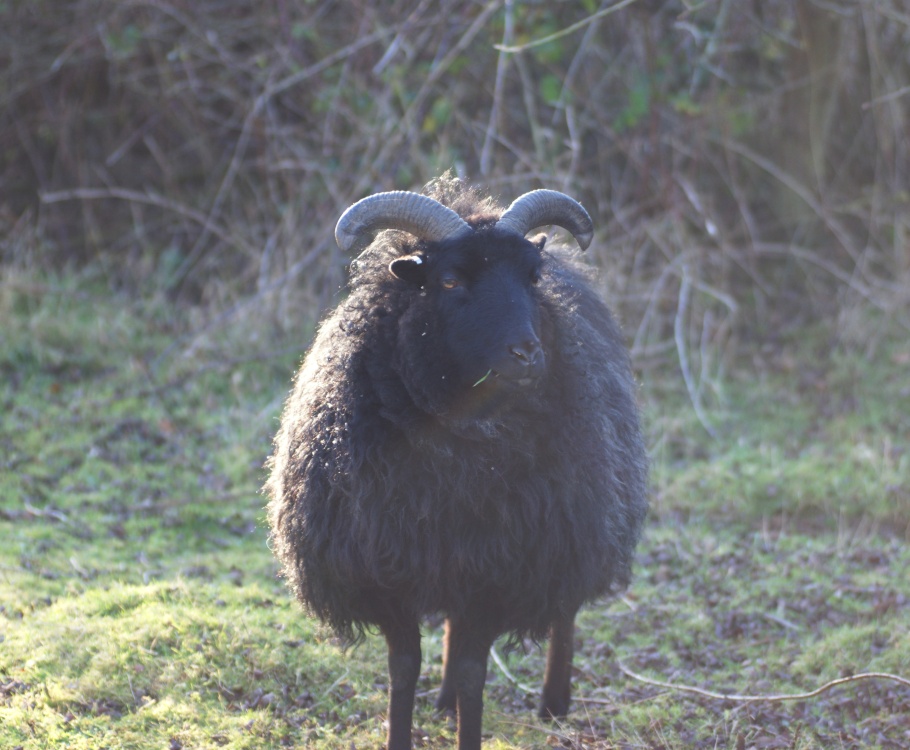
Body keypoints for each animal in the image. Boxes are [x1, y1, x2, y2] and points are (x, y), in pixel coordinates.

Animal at [265, 175, 648, 750]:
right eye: (448, 281)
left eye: (531, 278)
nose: (527, 354)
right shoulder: (389, 569)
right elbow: (403, 667)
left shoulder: (501, 572)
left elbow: (474, 671)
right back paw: (445, 701)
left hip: (573, 522)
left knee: (564, 610)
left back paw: (554, 702)